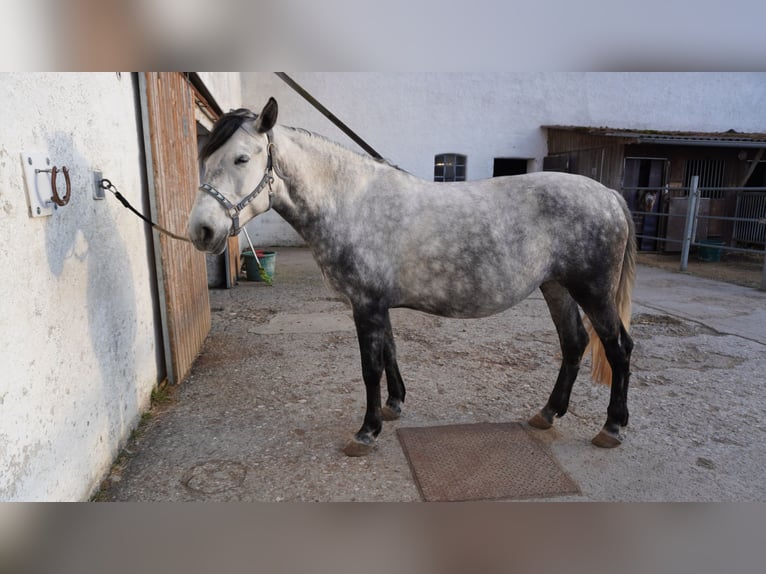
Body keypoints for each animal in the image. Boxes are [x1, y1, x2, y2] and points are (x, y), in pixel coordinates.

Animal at [188, 98, 636, 457]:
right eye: (204, 160)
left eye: (242, 159)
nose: (201, 231)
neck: (353, 203)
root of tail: (609, 195)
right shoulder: (377, 305)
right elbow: (390, 352)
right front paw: (394, 406)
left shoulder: (366, 305)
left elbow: (370, 366)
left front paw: (366, 432)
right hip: (556, 286)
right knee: (574, 343)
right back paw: (548, 412)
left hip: (593, 291)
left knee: (618, 349)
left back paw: (611, 427)